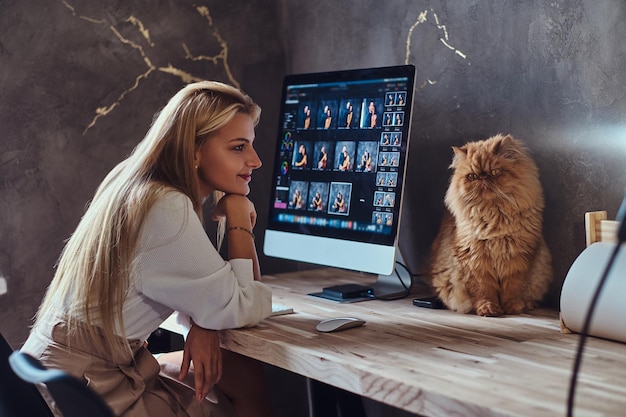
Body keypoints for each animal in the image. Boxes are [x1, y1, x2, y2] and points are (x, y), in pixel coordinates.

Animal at [426, 133, 548, 316]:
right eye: (472, 177)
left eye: (494, 172)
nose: (483, 177)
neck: (493, 216)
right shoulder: (474, 258)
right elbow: (483, 290)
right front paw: (488, 309)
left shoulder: (518, 257)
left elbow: (513, 288)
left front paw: (512, 307)